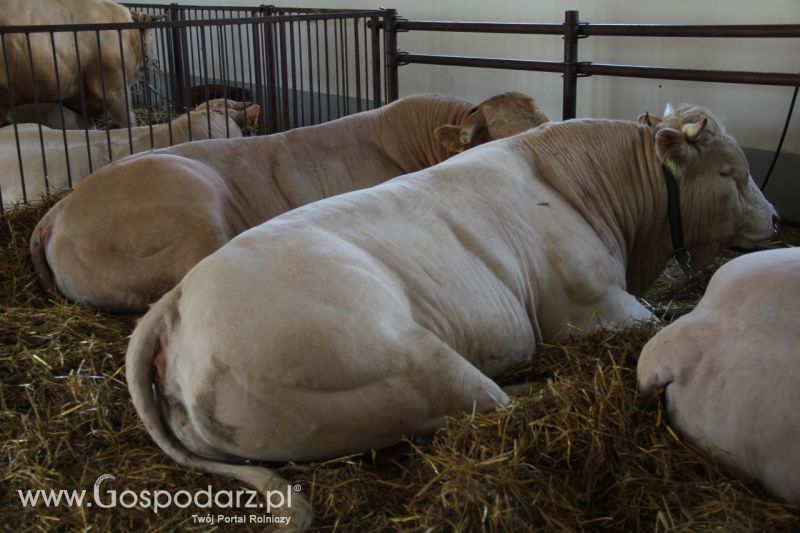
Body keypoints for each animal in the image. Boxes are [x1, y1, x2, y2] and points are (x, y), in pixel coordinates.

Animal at [128, 104, 780, 528]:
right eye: (729, 172)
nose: (776, 220)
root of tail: (174, 304)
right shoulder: (597, 303)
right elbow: (653, 325)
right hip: (407, 361)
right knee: (491, 401)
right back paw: (540, 382)